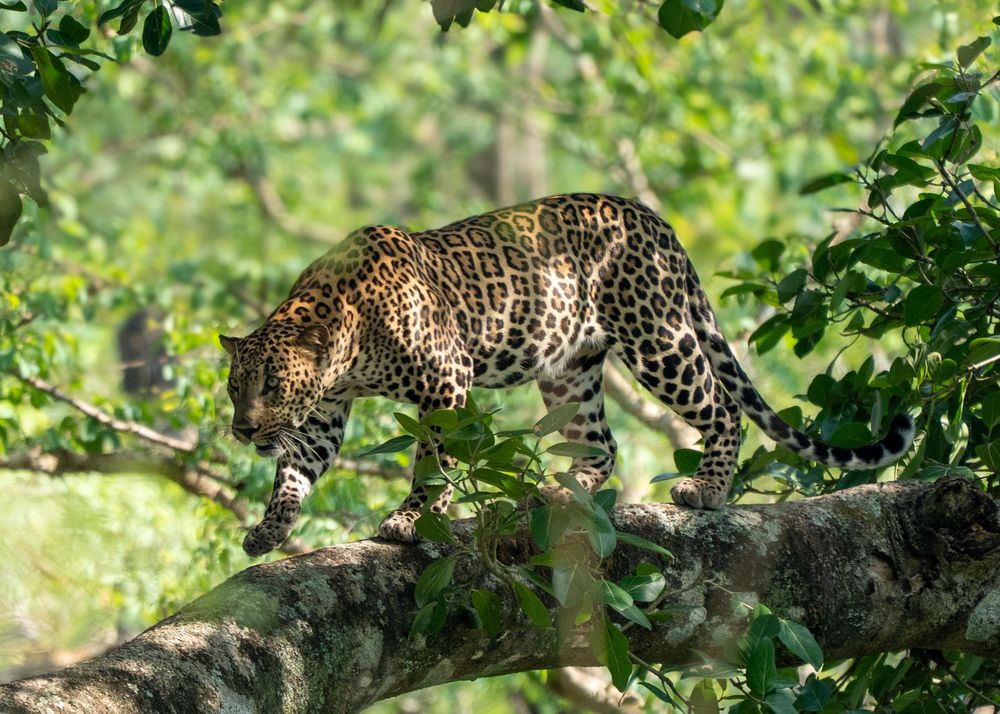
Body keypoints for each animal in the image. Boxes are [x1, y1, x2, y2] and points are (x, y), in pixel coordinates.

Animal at [221, 193, 915, 557]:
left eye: (273, 386)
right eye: (235, 388)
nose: (242, 430)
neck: (344, 334)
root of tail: (653, 218)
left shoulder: (446, 381)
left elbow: (435, 460)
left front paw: (411, 519)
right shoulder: (324, 411)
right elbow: (296, 469)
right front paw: (269, 528)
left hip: (657, 336)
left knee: (722, 405)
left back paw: (708, 489)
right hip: (569, 368)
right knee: (602, 444)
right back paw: (563, 491)